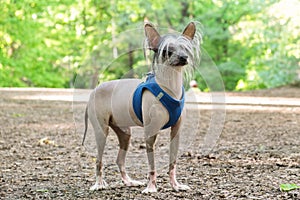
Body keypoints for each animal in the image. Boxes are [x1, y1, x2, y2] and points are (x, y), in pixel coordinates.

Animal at [84, 21, 202, 192]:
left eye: (185, 49)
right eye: (167, 51)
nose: (183, 57)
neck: (169, 88)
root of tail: (94, 90)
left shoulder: (176, 132)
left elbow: (172, 163)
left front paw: (175, 185)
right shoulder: (150, 134)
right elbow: (152, 166)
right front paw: (151, 187)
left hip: (125, 133)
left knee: (119, 160)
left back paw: (129, 182)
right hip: (101, 131)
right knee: (99, 160)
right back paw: (99, 184)